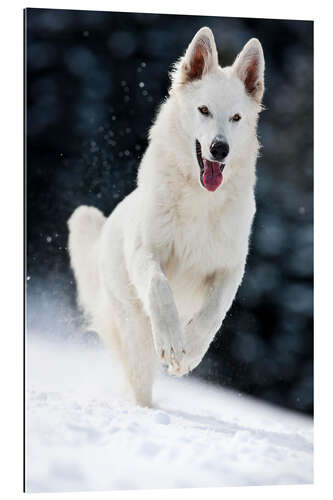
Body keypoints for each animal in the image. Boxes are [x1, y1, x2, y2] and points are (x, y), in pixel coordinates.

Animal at [67, 27, 264, 406]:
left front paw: (189, 353)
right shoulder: (146, 251)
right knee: (140, 378)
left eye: (236, 118)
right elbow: (159, 287)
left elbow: (213, 313)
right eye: (204, 110)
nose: (220, 149)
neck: (200, 199)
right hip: (134, 328)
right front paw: (173, 342)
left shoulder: (230, 268)